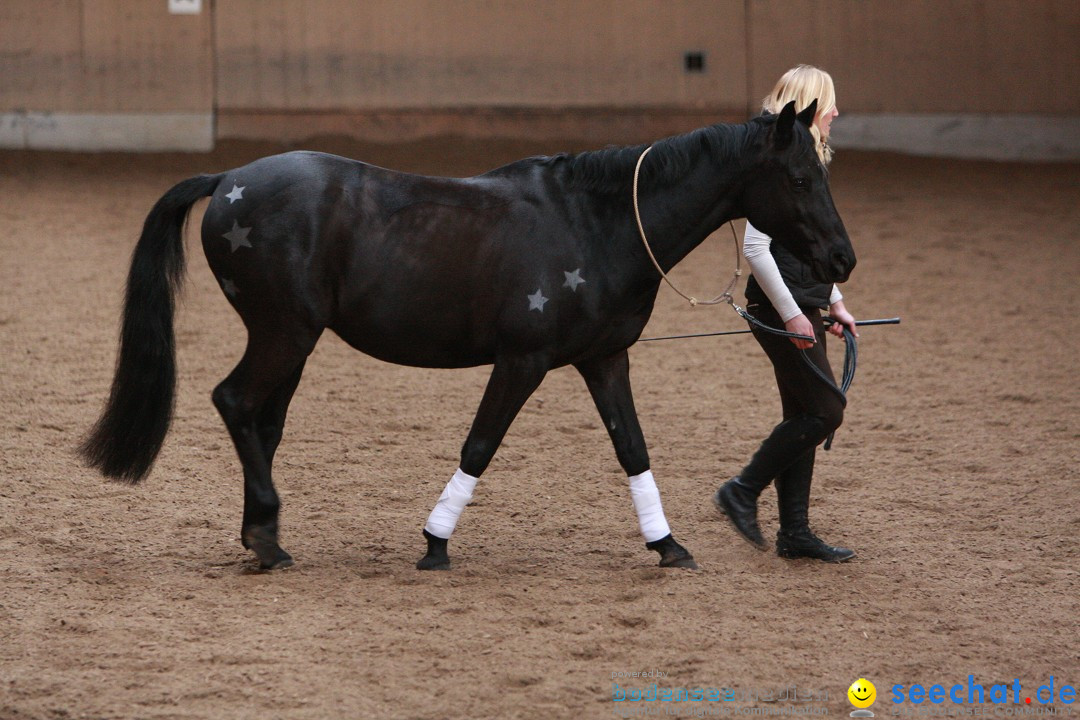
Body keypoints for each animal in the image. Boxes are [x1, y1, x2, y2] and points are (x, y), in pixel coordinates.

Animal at [79, 102, 851, 574]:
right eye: (799, 175)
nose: (842, 261)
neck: (595, 224)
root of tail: (230, 179)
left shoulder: (604, 360)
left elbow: (632, 449)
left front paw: (668, 546)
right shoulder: (522, 361)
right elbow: (480, 445)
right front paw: (434, 544)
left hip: (294, 342)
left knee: (262, 424)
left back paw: (263, 538)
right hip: (283, 333)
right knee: (235, 403)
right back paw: (265, 534)